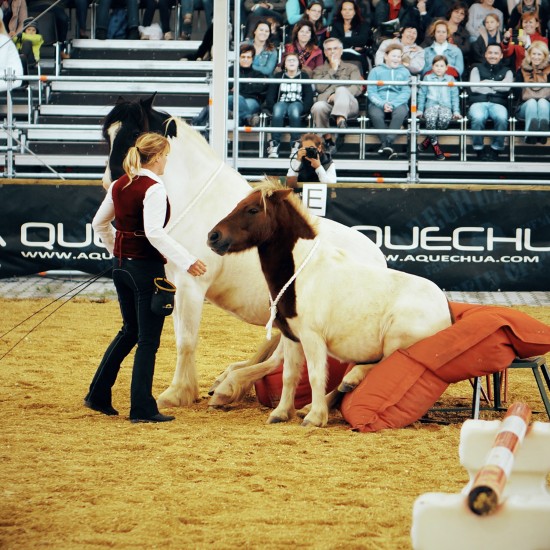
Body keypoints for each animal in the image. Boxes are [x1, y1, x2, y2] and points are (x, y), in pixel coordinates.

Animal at [209, 183, 454, 430]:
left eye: (253, 210)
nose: (213, 236)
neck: (303, 273)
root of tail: (445, 309)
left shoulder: (312, 338)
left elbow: (316, 375)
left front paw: (315, 417)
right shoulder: (291, 337)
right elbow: (289, 375)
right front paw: (281, 412)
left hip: (396, 340)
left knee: (384, 360)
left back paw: (350, 380)